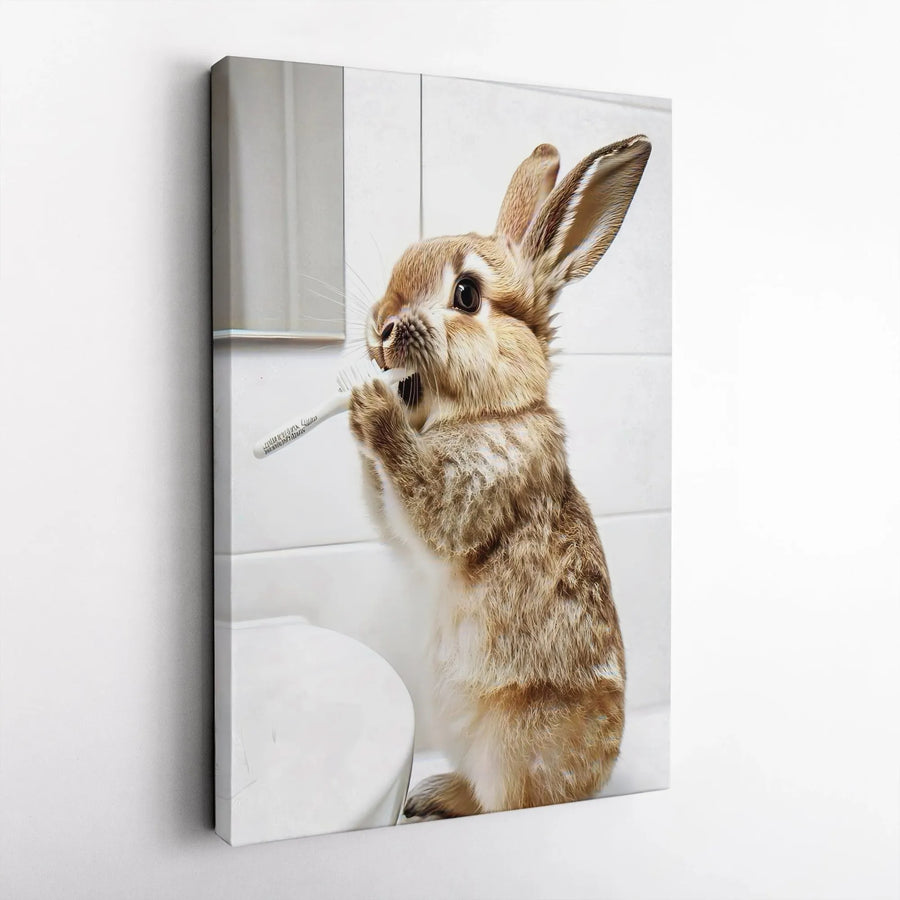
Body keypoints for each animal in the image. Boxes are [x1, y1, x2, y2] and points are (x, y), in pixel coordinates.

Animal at [348, 135, 652, 818]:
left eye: (466, 294)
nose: (380, 328)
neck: (493, 409)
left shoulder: (465, 496)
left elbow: (421, 500)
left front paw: (373, 409)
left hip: (513, 746)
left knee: (500, 802)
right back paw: (428, 794)